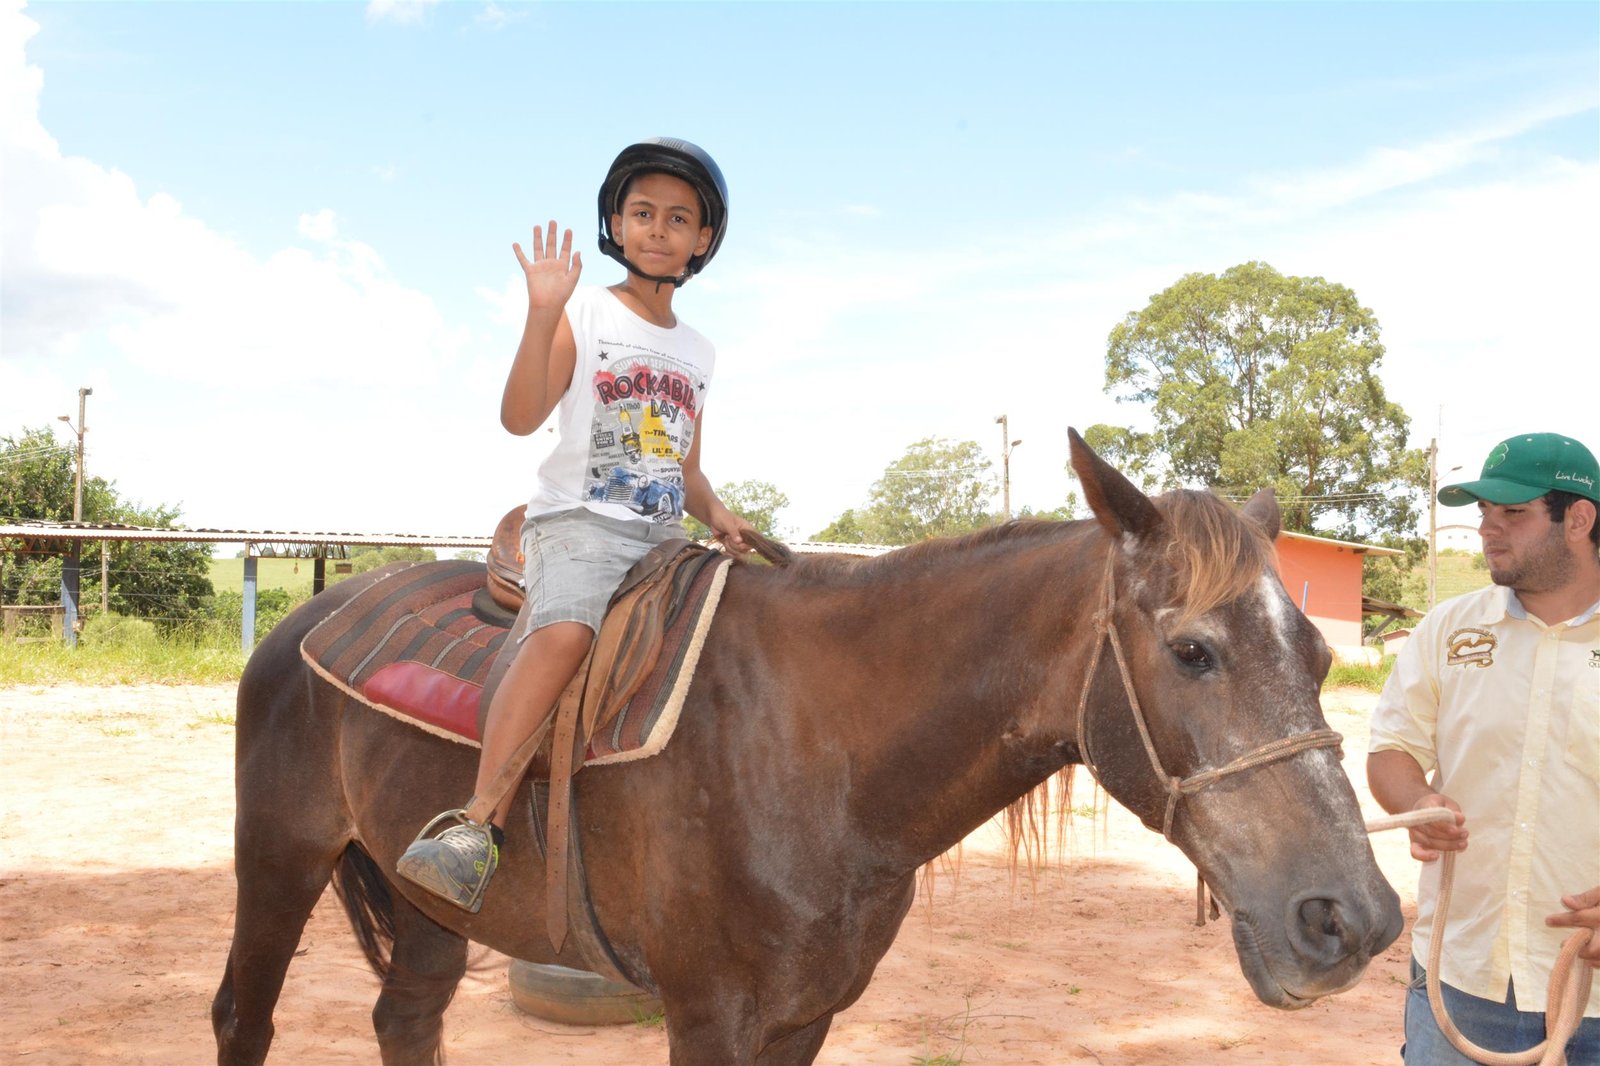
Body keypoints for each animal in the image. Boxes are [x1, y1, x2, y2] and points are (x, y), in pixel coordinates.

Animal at [209, 432, 1401, 1062]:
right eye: (1193, 651)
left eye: (1319, 656)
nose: (1353, 921)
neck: (820, 754)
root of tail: (306, 619)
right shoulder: (706, 1016)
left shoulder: (806, 1015)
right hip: (279, 859)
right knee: (242, 1016)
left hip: (427, 907)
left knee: (406, 1018)